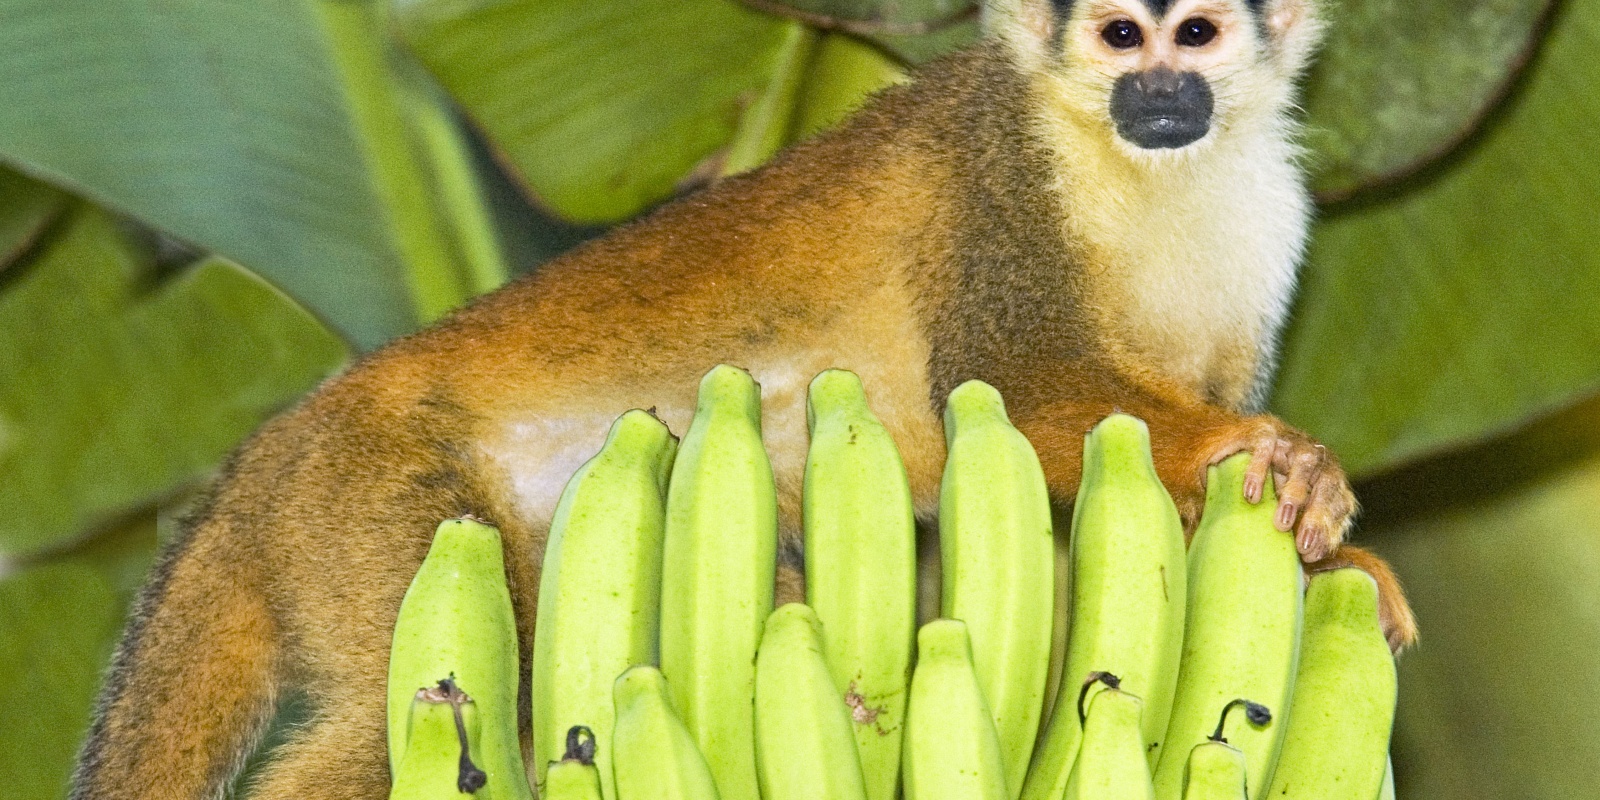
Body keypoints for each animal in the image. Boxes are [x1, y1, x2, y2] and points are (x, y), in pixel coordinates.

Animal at [71, 1, 1418, 798]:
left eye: (1194, 32)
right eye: (1120, 35)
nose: (1159, 97)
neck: (1137, 165)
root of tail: (263, 458)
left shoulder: (1272, 224)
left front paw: (1322, 547)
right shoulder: (996, 166)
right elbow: (1021, 383)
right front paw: (1279, 459)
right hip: (369, 496)